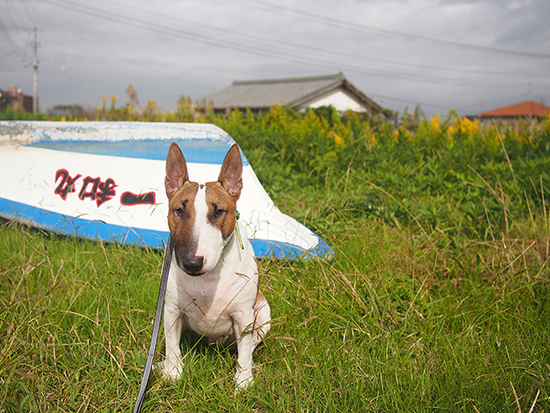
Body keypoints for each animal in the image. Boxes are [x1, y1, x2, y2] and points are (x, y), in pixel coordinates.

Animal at [157, 142, 272, 390]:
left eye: (218, 211)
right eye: (179, 210)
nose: (192, 263)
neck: (207, 279)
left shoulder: (243, 315)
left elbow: (244, 352)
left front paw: (243, 382)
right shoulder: (171, 311)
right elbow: (172, 344)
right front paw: (172, 372)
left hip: (263, 313)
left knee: (251, 344)